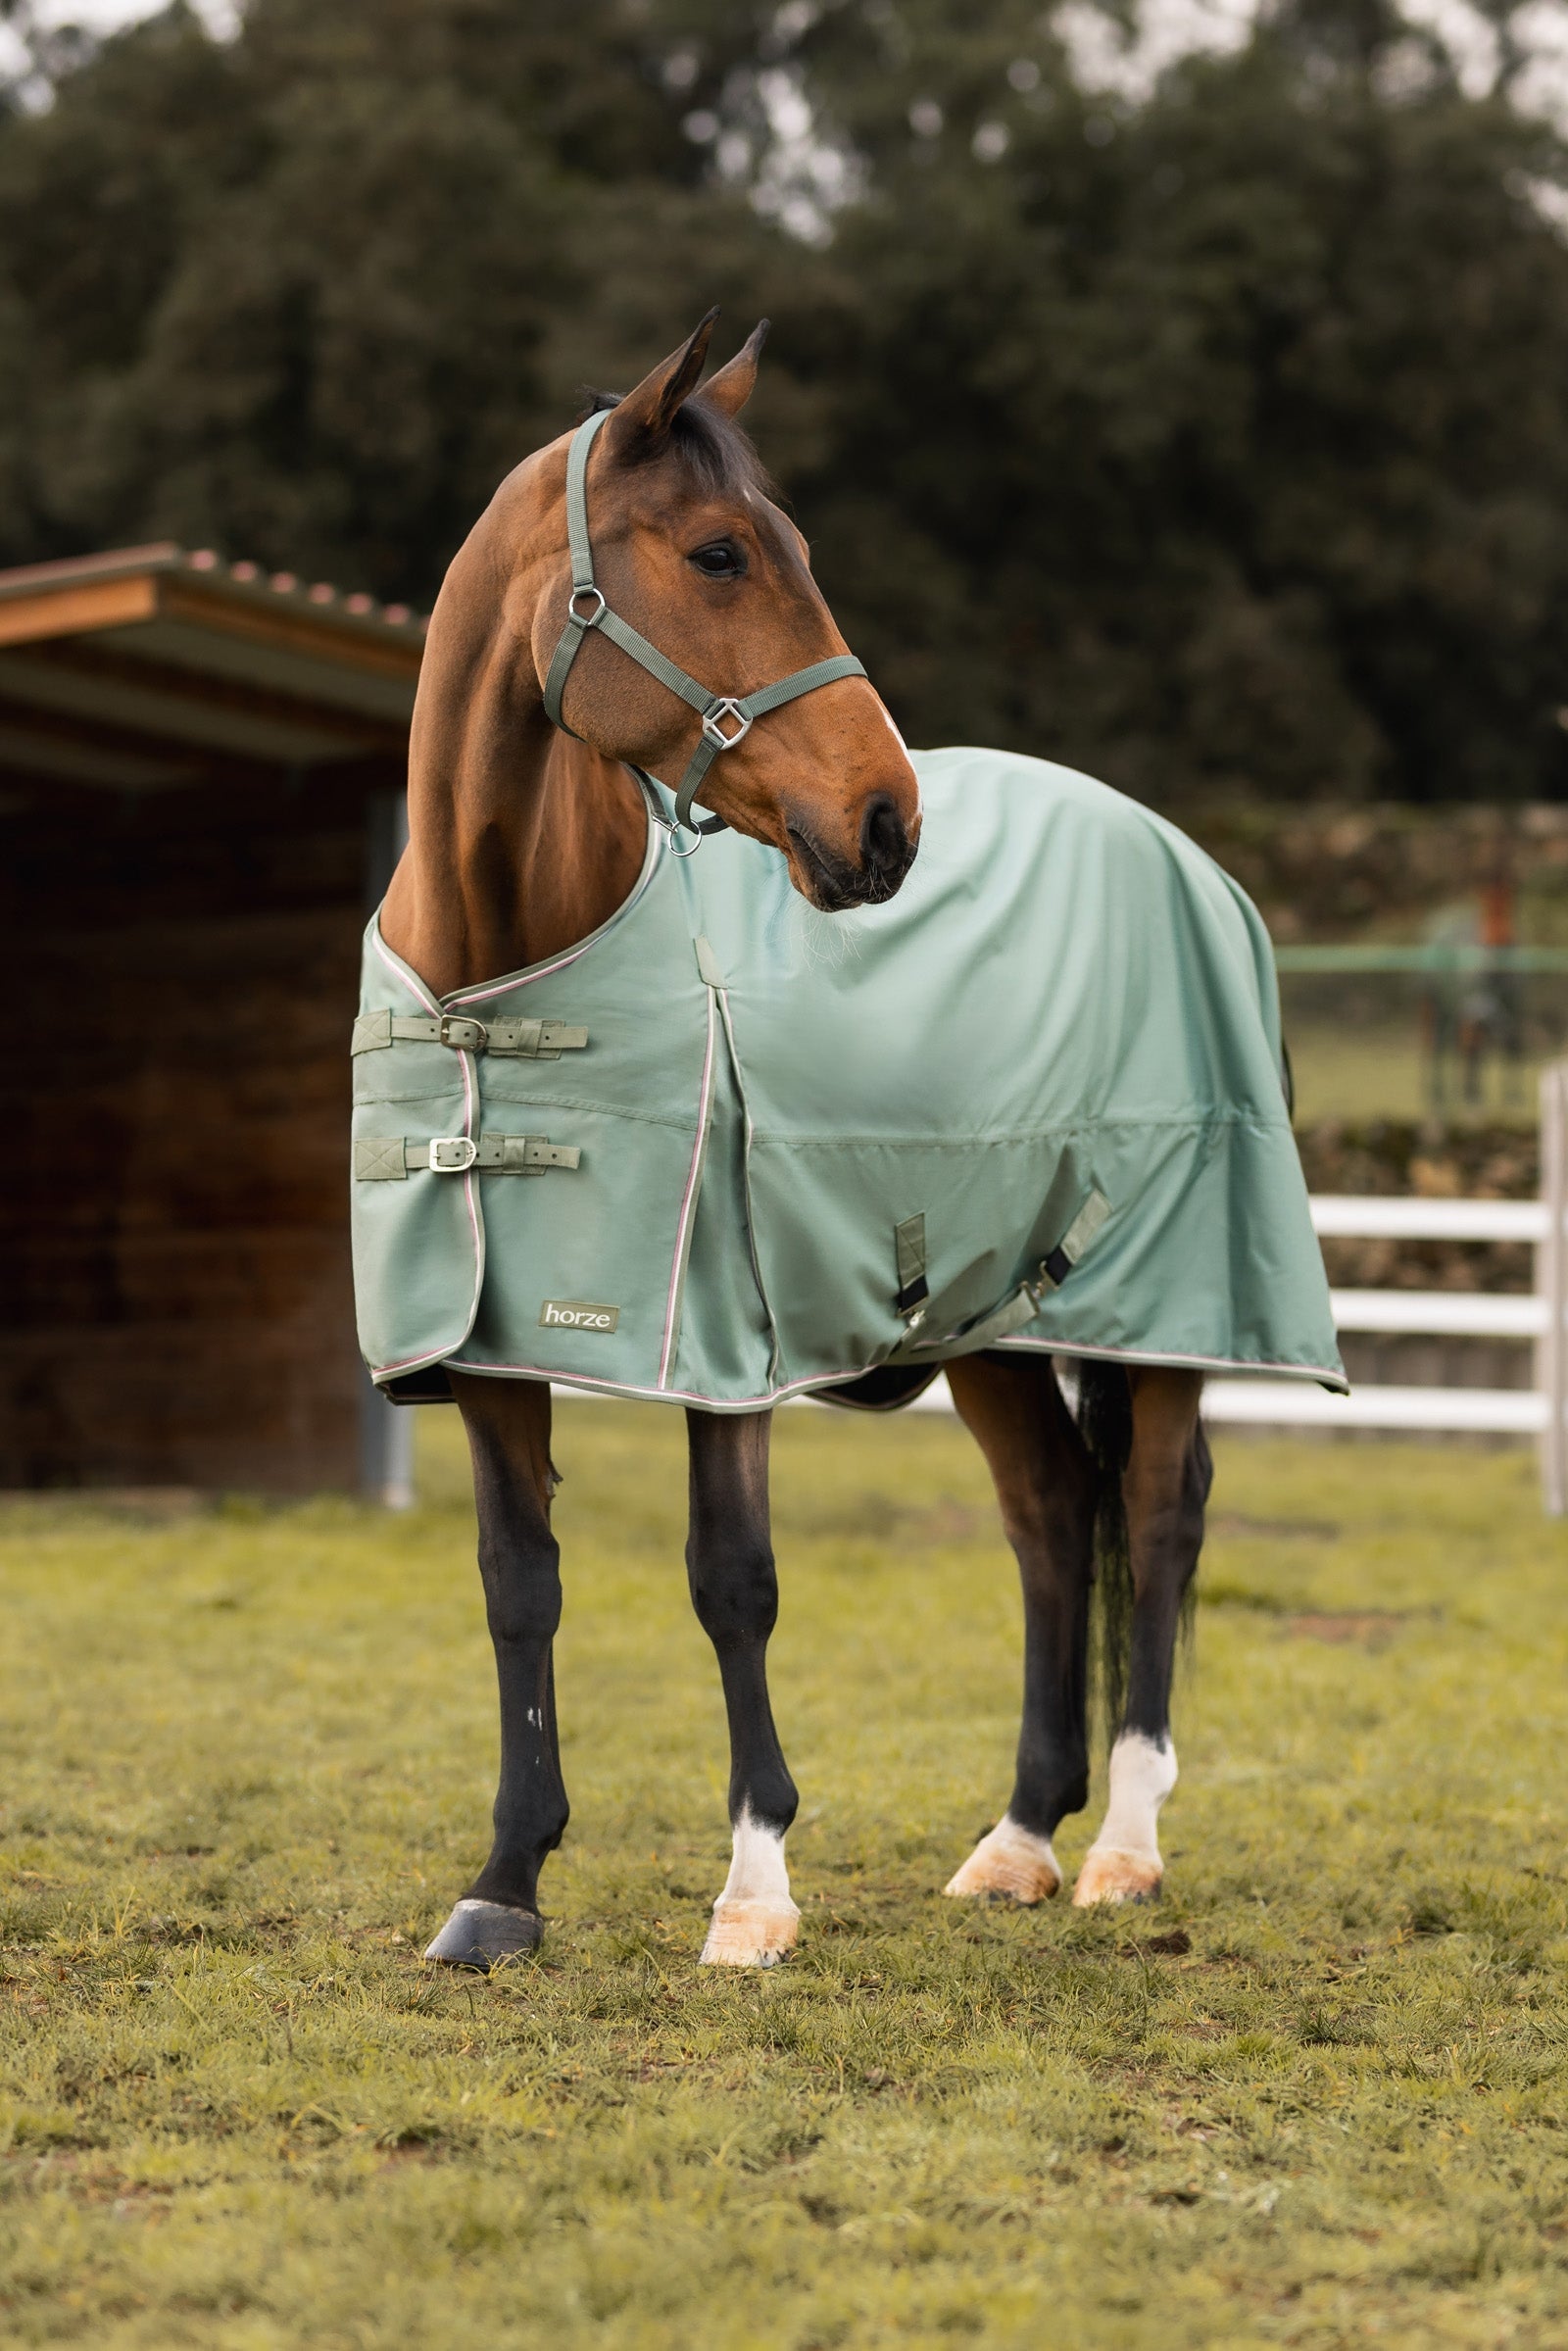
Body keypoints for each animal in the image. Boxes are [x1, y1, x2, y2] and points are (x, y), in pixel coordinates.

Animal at [373, 311, 1294, 1971]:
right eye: (721, 551)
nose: (886, 822)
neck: (503, 969)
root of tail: (1176, 850)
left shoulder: (715, 1339)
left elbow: (731, 1580)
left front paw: (754, 1889)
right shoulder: (484, 1349)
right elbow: (519, 1586)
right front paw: (504, 1883)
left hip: (1158, 1307)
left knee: (1155, 1515)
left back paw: (1123, 1845)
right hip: (998, 1321)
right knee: (1051, 1518)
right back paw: (1016, 1838)